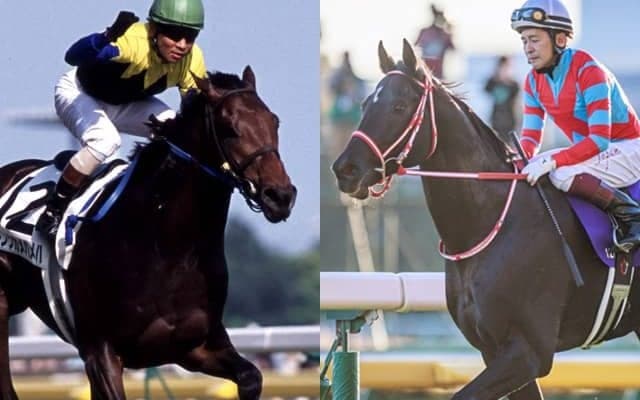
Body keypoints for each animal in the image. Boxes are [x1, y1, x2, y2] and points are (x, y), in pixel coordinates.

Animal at [0, 66, 296, 400]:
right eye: (229, 127)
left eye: (274, 121)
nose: (280, 195)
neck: (166, 247)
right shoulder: (101, 352)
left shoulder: (194, 346)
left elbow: (251, 376)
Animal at [332, 39, 640, 400]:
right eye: (366, 102)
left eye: (398, 105)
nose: (345, 169)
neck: (490, 223)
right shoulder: (493, 349)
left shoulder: (529, 351)